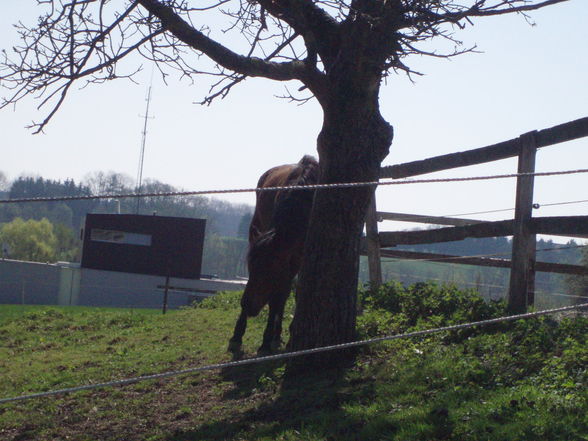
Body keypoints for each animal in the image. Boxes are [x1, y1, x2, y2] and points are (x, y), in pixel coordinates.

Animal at [227, 155, 320, 354]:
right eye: (250, 267)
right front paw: (264, 341)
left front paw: (279, 338)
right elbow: (277, 297)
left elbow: (290, 294)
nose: (248, 305)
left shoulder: (296, 259)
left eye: (269, 270)